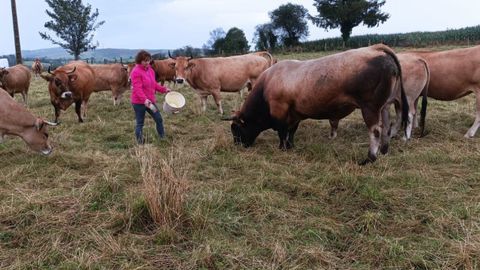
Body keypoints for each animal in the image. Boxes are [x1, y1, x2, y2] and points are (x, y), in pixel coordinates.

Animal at [223, 44, 406, 165]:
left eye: (235, 128)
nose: (238, 145)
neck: (267, 83)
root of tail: (375, 48)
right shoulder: (294, 114)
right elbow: (291, 131)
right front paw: (290, 146)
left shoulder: (280, 111)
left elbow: (282, 132)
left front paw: (282, 148)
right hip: (384, 106)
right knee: (386, 127)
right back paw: (384, 150)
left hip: (370, 107)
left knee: (375, 131)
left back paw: (370, 158)